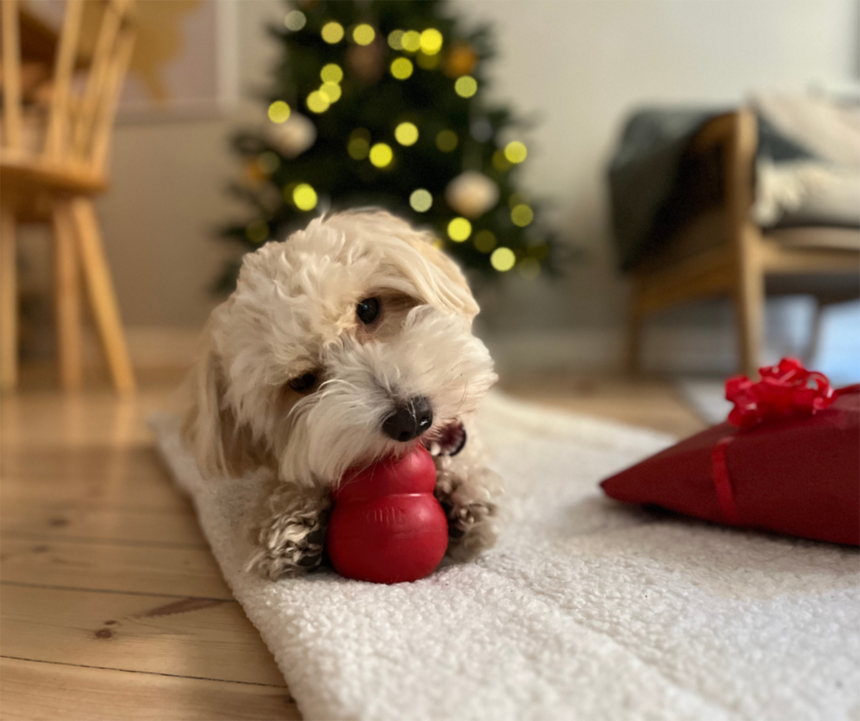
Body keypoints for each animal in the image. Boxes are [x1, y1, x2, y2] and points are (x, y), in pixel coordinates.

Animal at [185, 210, 500, 580]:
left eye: (368, 309)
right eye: (302, 381)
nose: (411, 419)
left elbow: (467, 453)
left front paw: (464, 492)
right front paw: (292, 518)